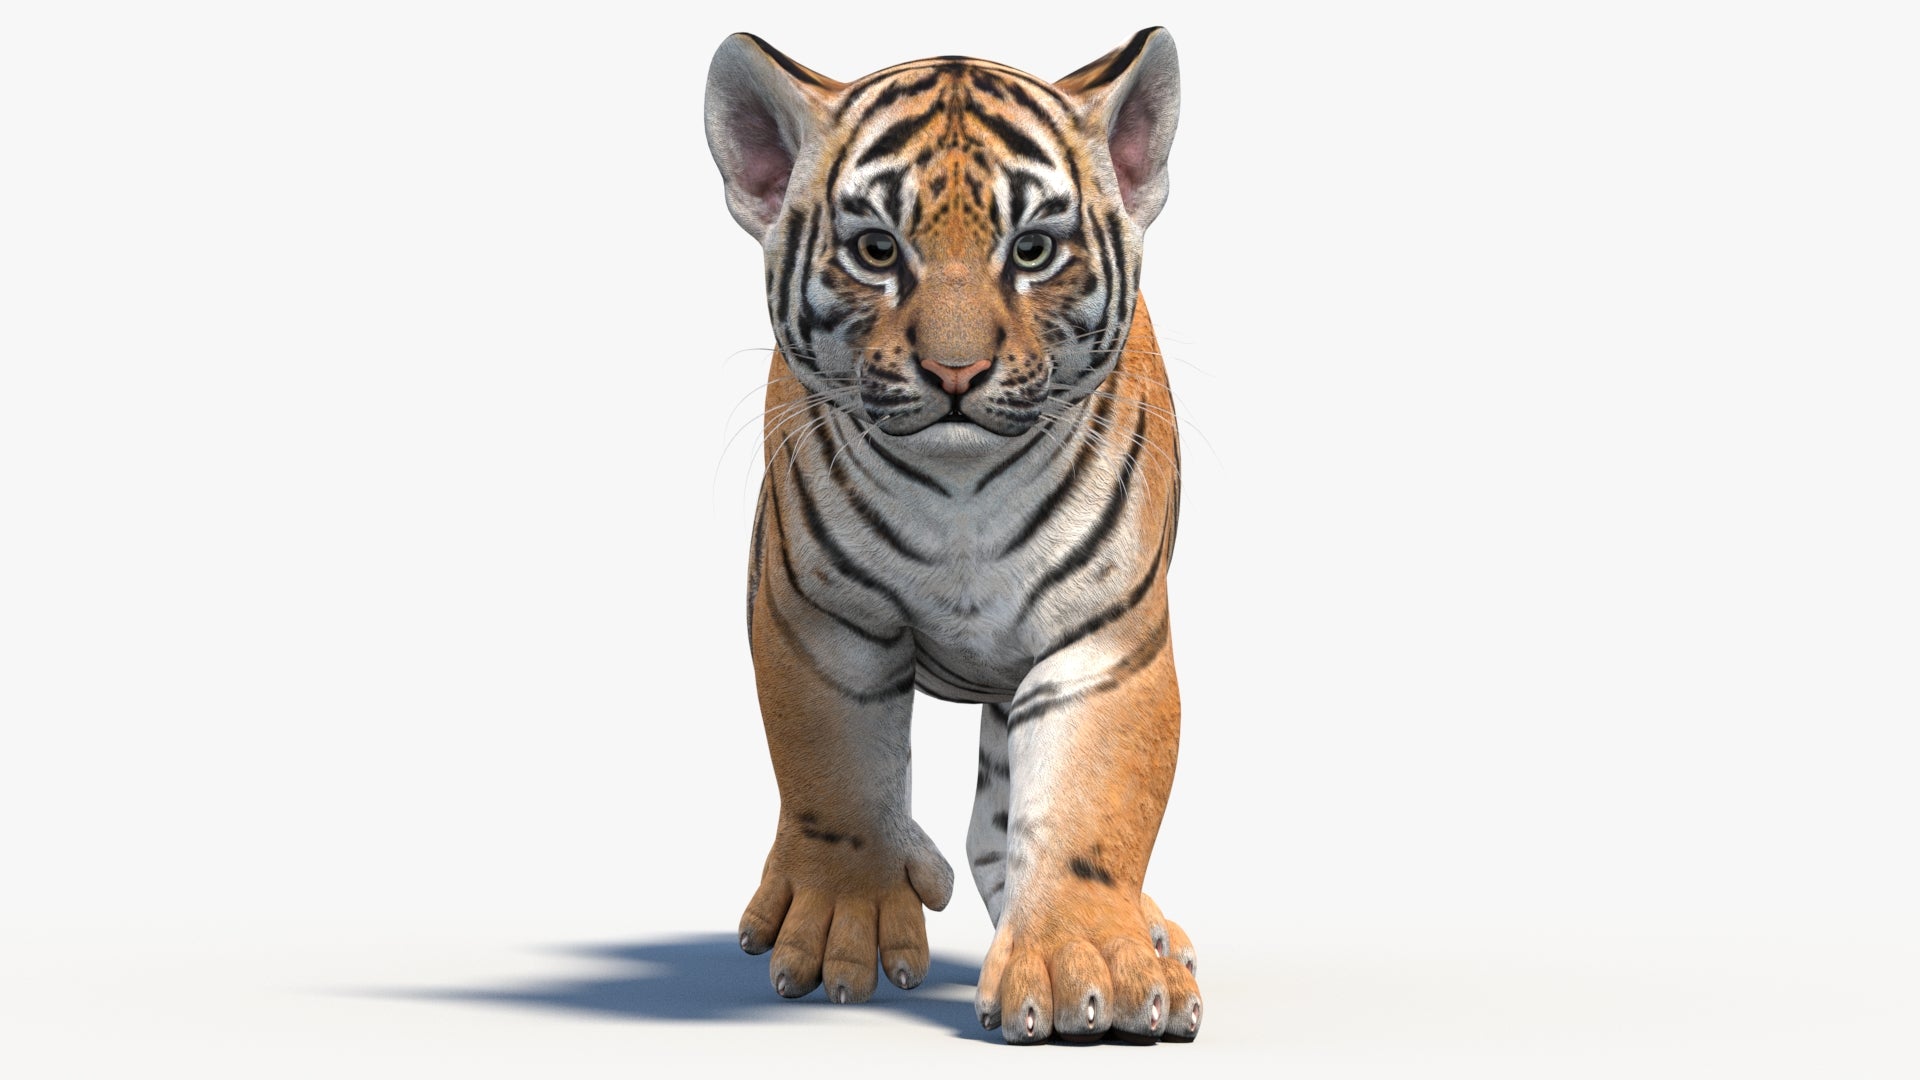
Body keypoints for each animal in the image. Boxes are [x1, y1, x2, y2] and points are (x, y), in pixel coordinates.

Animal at [702, 27, 1197, 1044]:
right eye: (876, 250)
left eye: (1034, 250)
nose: (956, 371)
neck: (963, 494)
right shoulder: (821, 622)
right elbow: (837, 772)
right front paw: (841, 921)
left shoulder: (1104, 642)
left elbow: (1090, 806)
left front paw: (1089, 968)